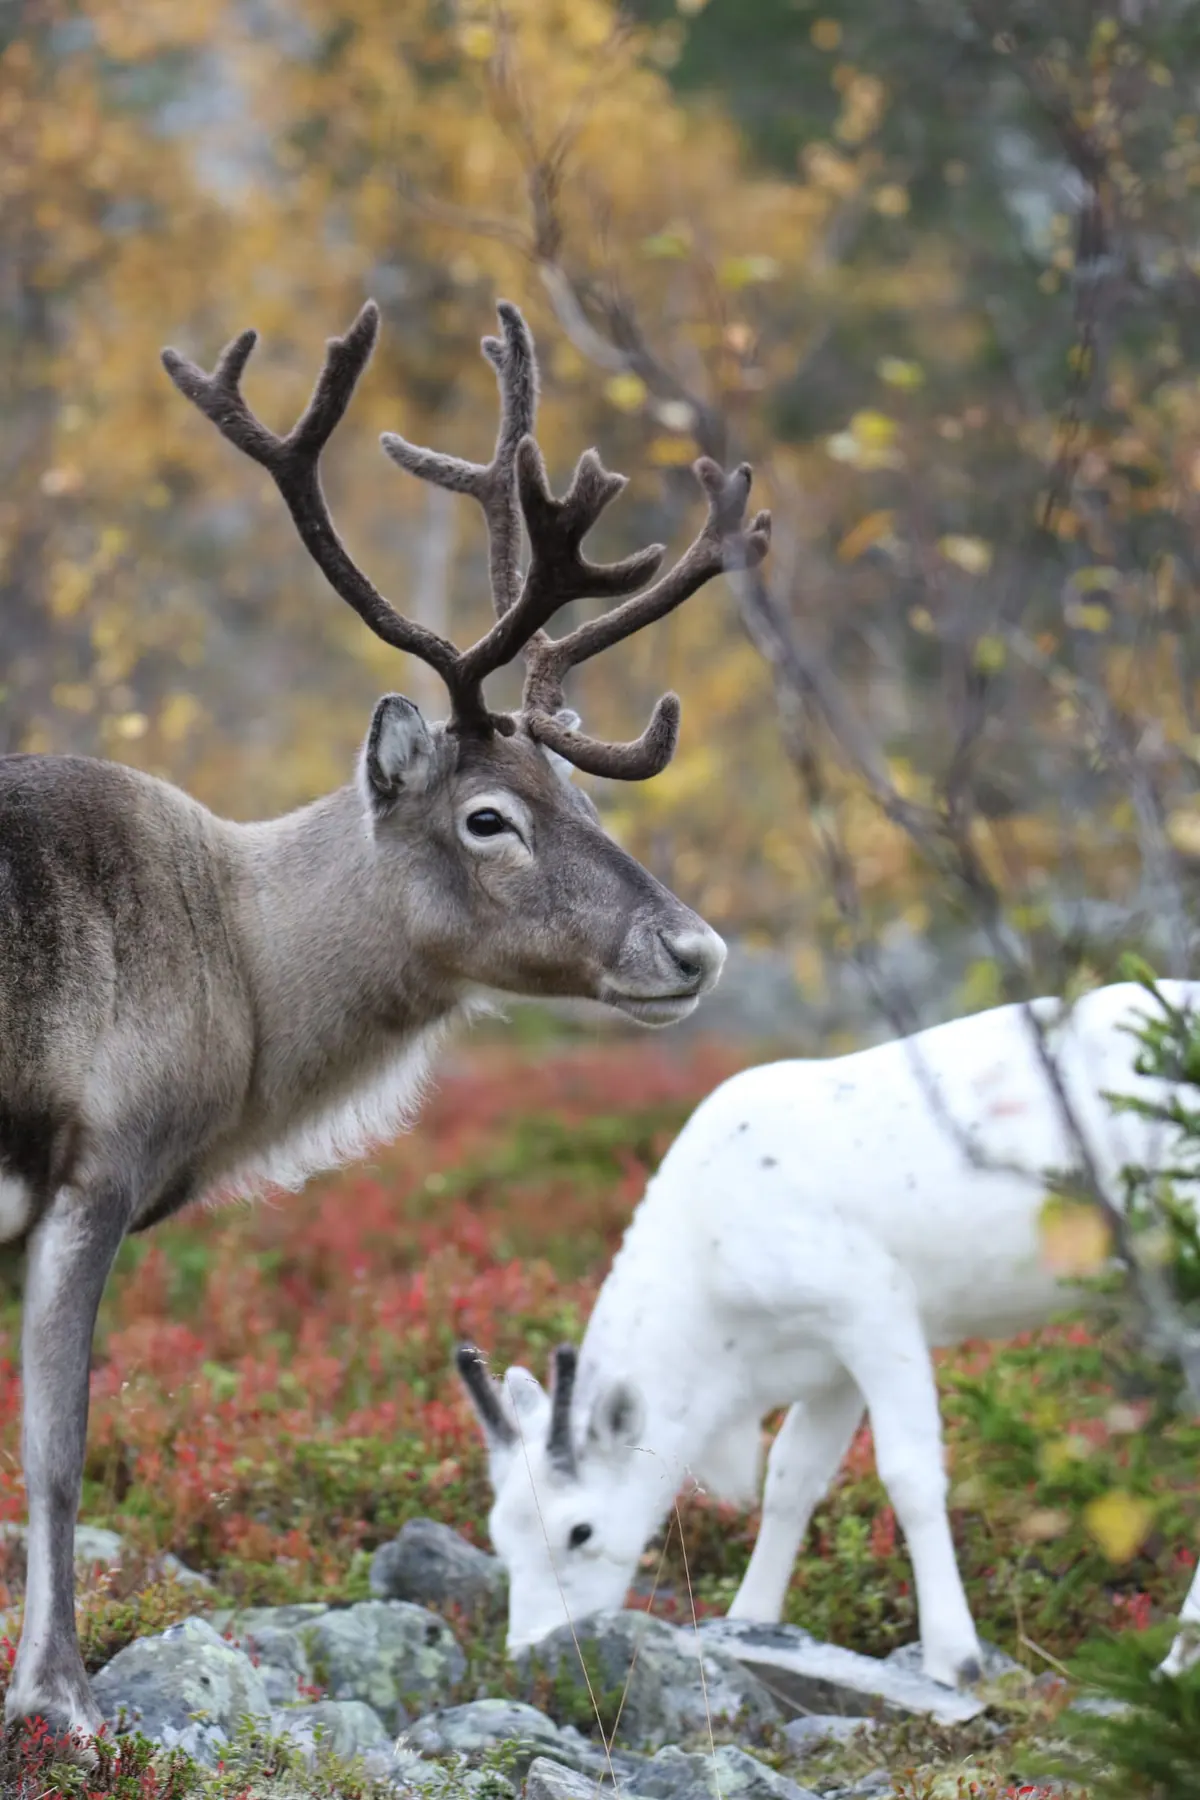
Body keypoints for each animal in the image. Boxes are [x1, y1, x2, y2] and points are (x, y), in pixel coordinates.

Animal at [0, 296, 770, 1744]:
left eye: (589, 800)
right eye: (489, 816)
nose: (693, 947)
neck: (239, 975)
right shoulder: (93, 1170)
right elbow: (59, 1451)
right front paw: (59, 1693)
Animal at [458, 979, 1200, 1690]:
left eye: (579, 1529)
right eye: (498, 1531)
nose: (531, 1653)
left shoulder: (875, 1311)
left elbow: (908, 1473)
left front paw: (954, 1657)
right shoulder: (829, 1366)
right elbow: (793, 1475)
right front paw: (751, 1617)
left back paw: (1176, 1659)